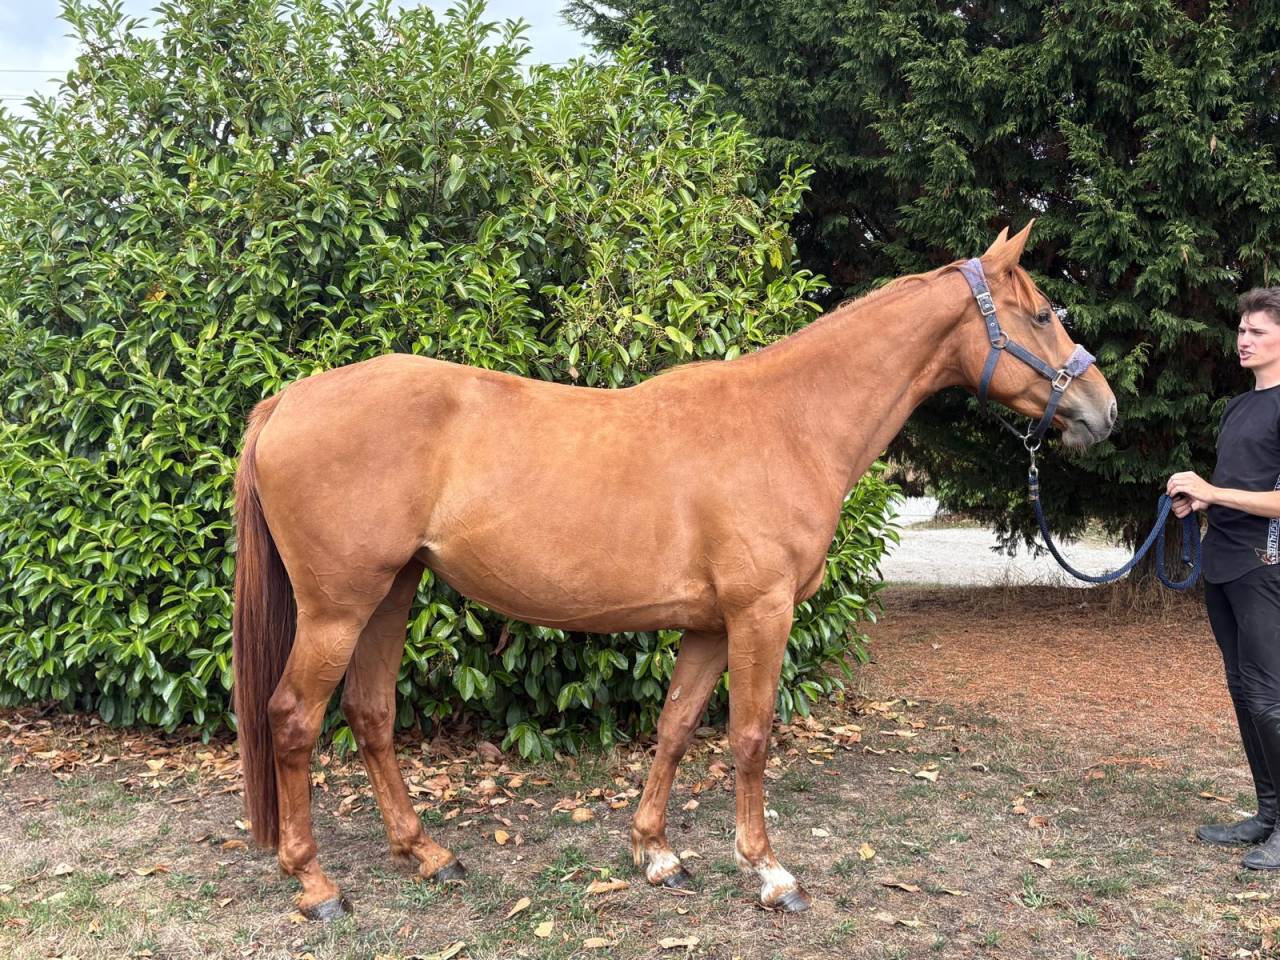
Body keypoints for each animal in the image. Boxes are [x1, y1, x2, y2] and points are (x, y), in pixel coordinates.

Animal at [231, 222, 1116, 919]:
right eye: (1043, 314)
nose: (1104, 412)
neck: (788, 423)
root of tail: (285, 403)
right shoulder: (761, 613)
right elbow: (751, 736)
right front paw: (769, 872)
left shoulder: (709, 625)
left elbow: (677, 727)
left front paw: (656, 853)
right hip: (338, 608)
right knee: (294, 719)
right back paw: (316, 885)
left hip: (392, 593)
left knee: (372, 714)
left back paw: (427, 854)